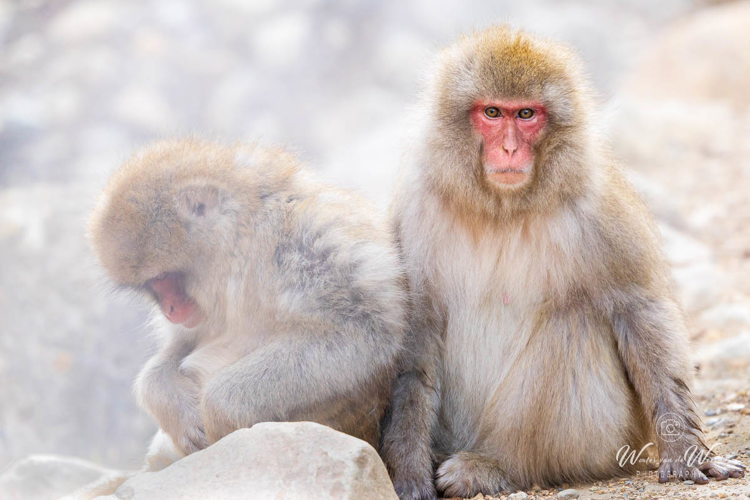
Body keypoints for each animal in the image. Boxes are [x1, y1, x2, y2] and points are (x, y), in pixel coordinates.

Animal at [79, 139, 406, 497]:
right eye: (153, 286)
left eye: (166, 277)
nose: (170, 310)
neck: (244, 240)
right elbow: (180, 345)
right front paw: (173, 404)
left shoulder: (309, 241)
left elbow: (362, 334)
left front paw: (219, 408)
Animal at [379, 26, 745, 500]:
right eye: (492, 112)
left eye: (527, 114)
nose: (510, 148)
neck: (503, 209)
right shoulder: (416, 209)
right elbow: (416, 335)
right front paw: (407, 468)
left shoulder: (599, 204)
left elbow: (639, 310)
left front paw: (685, 448)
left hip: (607, 438)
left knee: (571, 323)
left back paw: (496, 466)